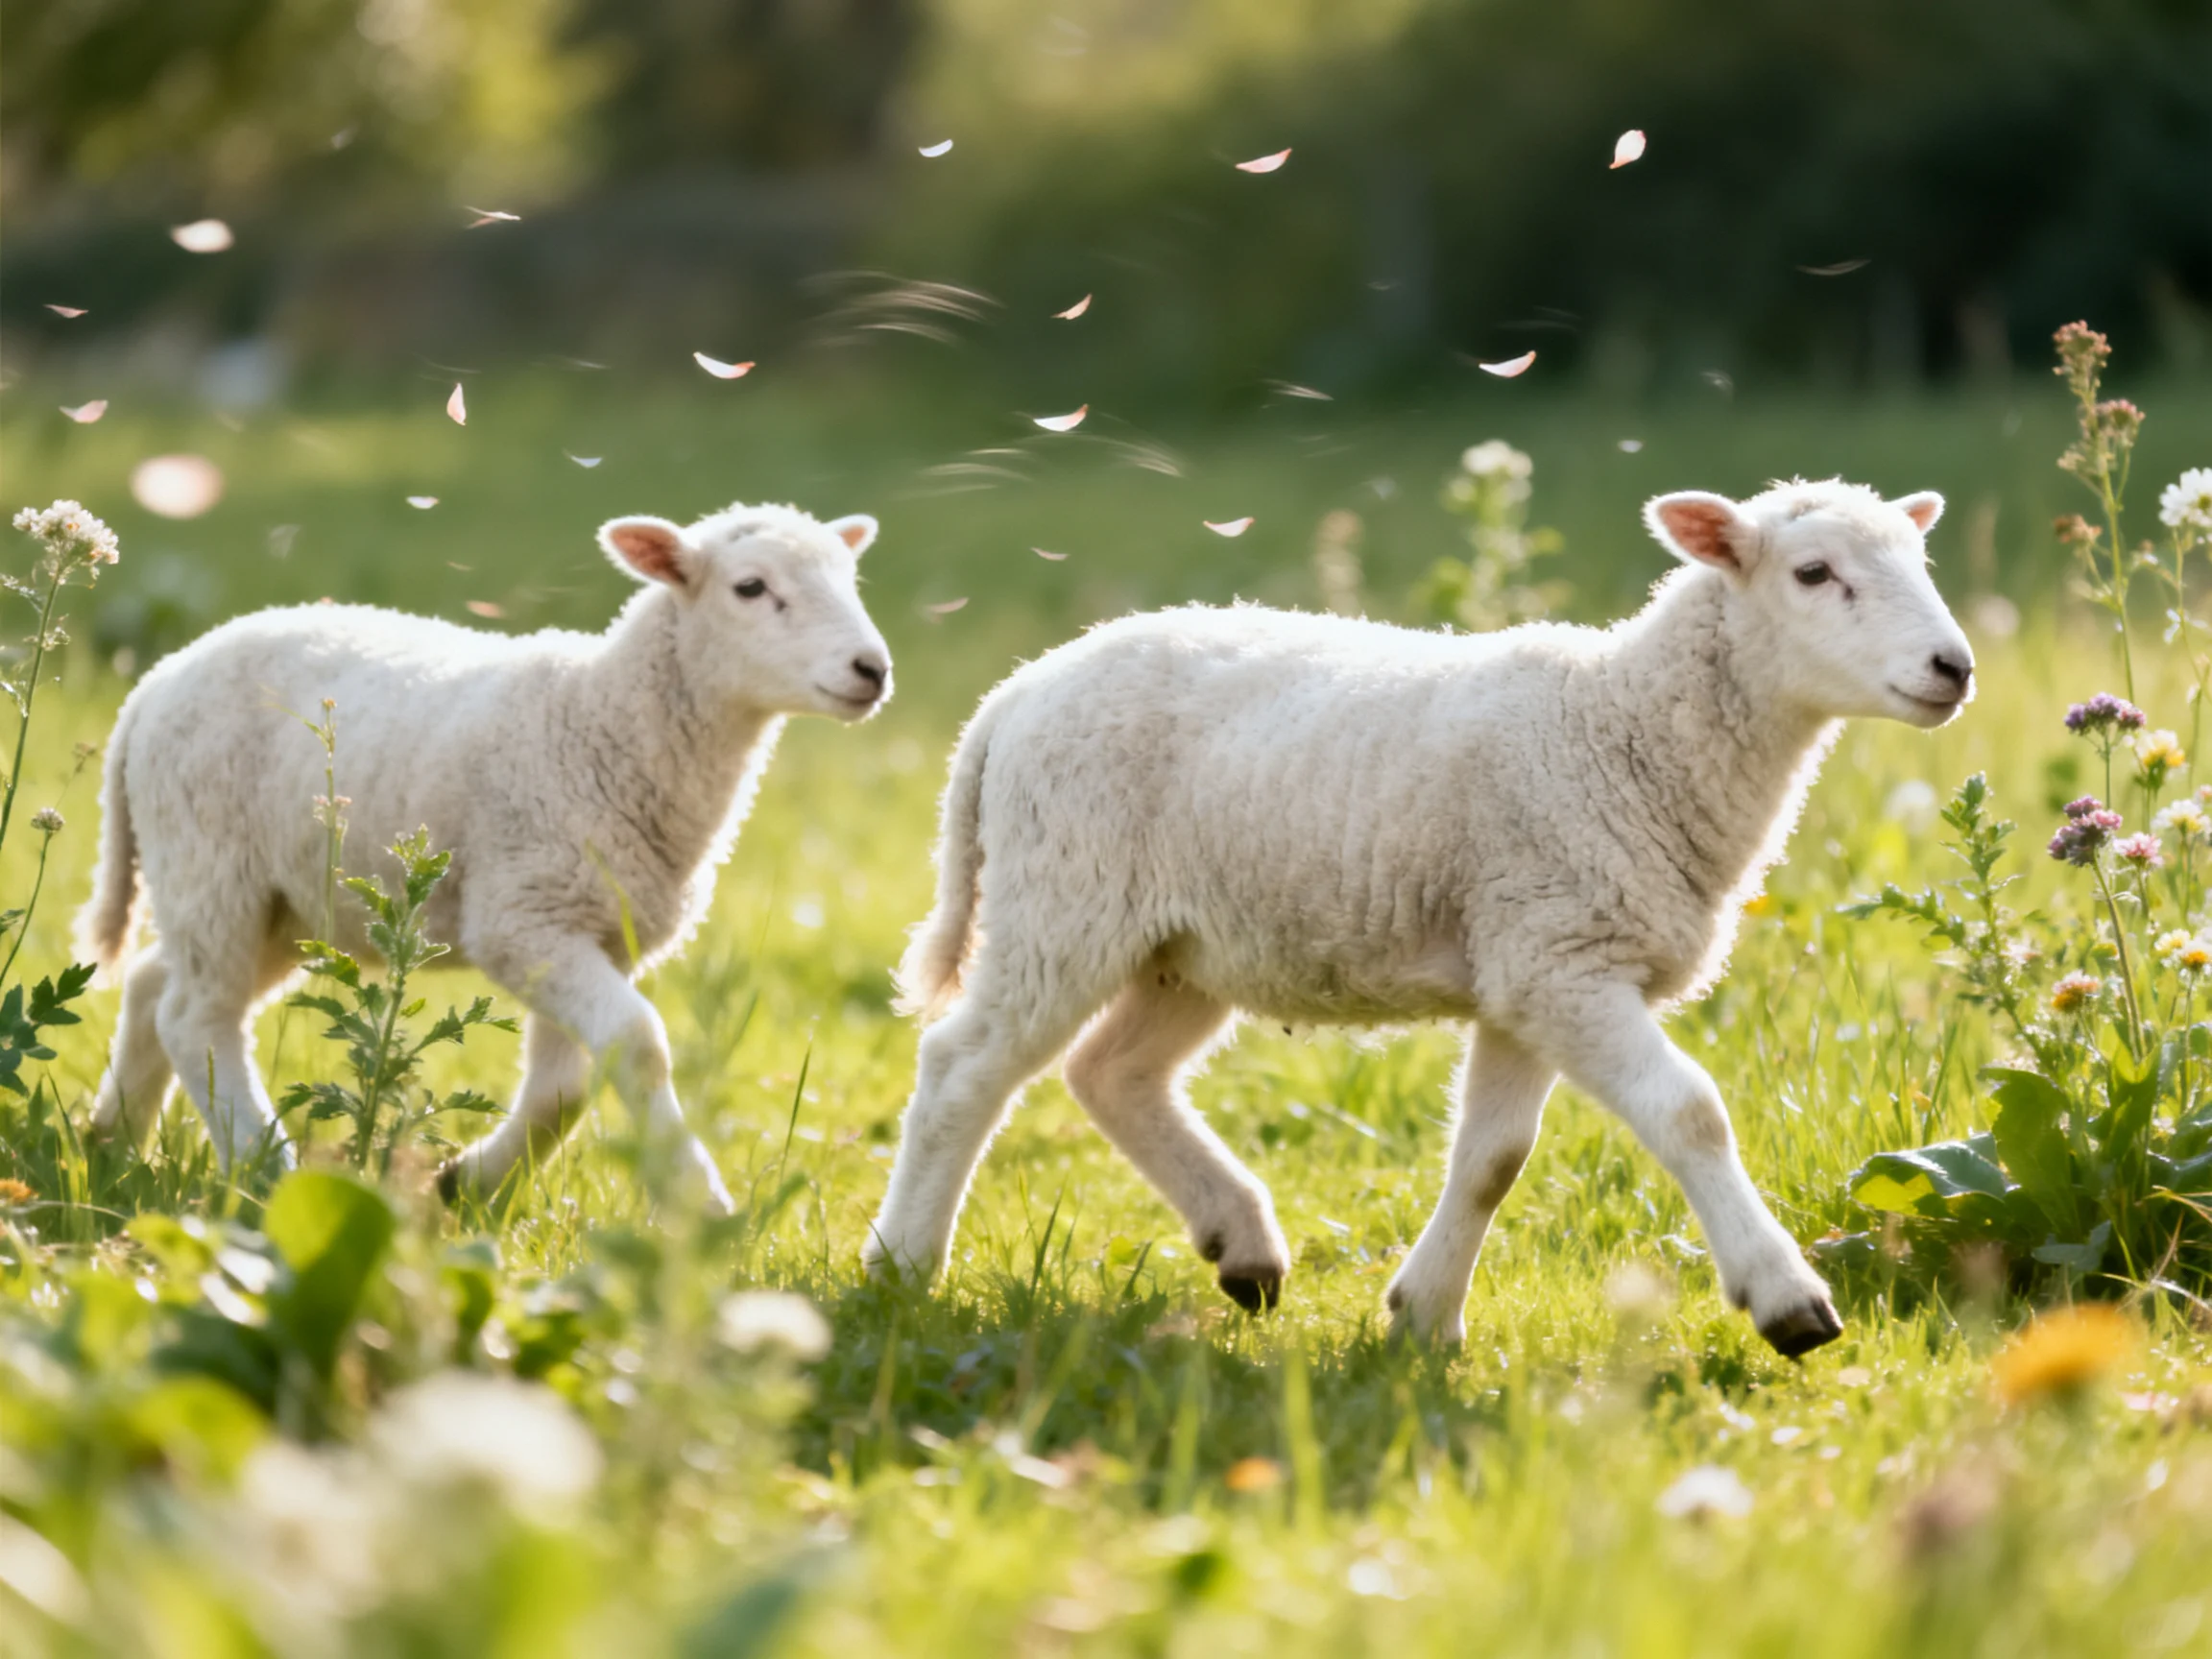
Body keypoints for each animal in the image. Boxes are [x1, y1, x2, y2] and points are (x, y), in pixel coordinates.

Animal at [77, 502, 891, 1212]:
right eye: (750, 587)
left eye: (851, 579)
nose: (872, 669)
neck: (607, 719)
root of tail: (151, 686)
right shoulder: (521, 917)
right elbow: (638, 1044)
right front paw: (701, 1205)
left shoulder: (593, 930)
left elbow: (564, 1089)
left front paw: (465, 1184)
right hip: (211, 860)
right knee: (196, 1016)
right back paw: (261, 1163)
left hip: (282, 901)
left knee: (153, 985)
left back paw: (114, 1143)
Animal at [865, 480, 1973, 1355]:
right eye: (1815, 572)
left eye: (1921, 559)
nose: (1953, 667)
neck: (1622, 727)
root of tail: (1009, 699)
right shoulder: (1564, 959)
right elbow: (1690, 1112)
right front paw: (1788, 1301)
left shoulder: (1523, 970)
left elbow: (1491, 1161)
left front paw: (1425, 1320)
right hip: (1065, 902)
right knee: (964, 1068)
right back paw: (902, 1265)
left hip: (1184, 944)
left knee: (1113, 1073)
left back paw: (1243, 1248)